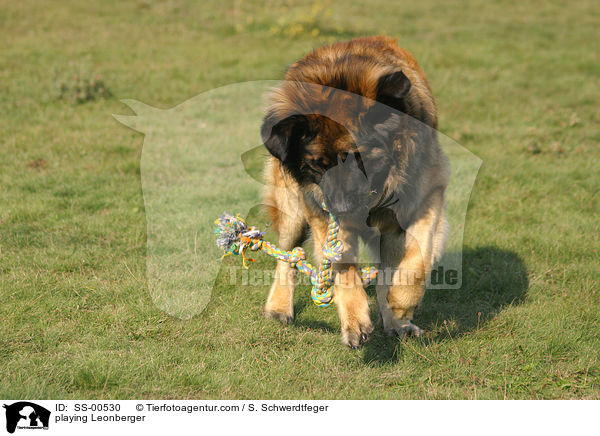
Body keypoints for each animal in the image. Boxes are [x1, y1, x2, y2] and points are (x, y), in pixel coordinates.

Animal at [260, 35, 448, 350]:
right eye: (318, 165)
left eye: (357, 159)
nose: (340, 207)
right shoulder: (322, 212)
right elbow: (343, 267)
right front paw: (355, 321)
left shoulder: (426, 196)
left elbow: (417, 259)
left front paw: (400, 305)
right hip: (294, 209)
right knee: (288, 253)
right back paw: (278, 306)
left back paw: (395, 320)